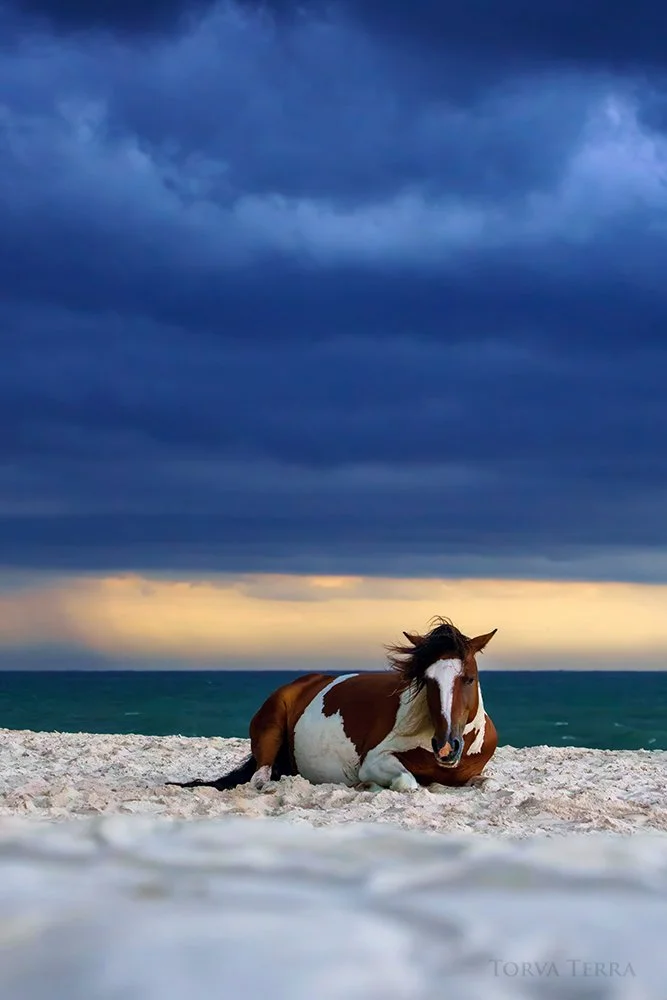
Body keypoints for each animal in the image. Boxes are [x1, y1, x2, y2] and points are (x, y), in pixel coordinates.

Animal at [168, 618, 498, 793]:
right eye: (427, 680)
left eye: (468, 678)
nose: (445, 748)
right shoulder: (374, 760)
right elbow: (407, 782)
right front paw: (368, 786)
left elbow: (486, 782)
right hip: (270, 728)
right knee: (260, 778)